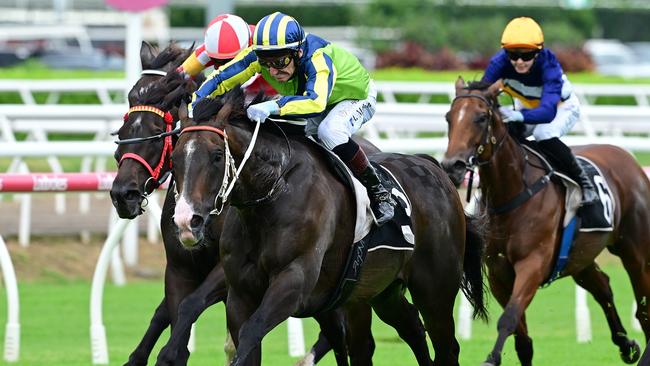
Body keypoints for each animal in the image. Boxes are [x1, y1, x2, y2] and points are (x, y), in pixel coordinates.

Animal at [170, 87, 484, 364]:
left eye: (216, 156)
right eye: (174, 158)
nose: (187, 220)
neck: (274, 191)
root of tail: (432, 166)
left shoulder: (294, 280)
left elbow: (251, 331)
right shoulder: (240, 293)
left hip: (434, 290)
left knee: (446, 347)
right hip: (383, 292)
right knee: (411, 330)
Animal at [440, 76, 648, 364]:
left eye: (481, 118)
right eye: (449, 117)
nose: (453, 166)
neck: (514, 192)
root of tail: (629, 159)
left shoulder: (533, 264)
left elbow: (509, 318)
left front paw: (491, 357)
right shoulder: (498, 273)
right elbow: (522, 339)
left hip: (634, 250)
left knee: (643, 307)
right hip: (579, 257)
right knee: (602, 286)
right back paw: (626, 345)